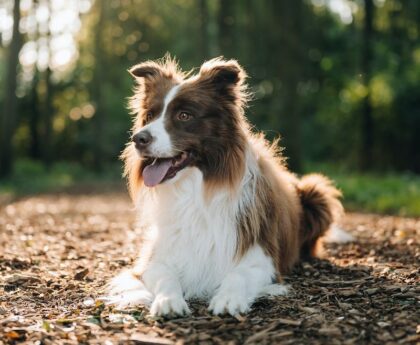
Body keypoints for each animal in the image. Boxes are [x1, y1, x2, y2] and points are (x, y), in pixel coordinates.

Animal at [106, 56, 344, 318]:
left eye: (184, 116)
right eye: (150, 115)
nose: (138, 139)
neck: (195, 191)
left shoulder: (262, 257)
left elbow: (238, 275)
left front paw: (228, 299)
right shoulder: (155, 258)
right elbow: (165, 277)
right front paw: (168, 300)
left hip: (316, 192)